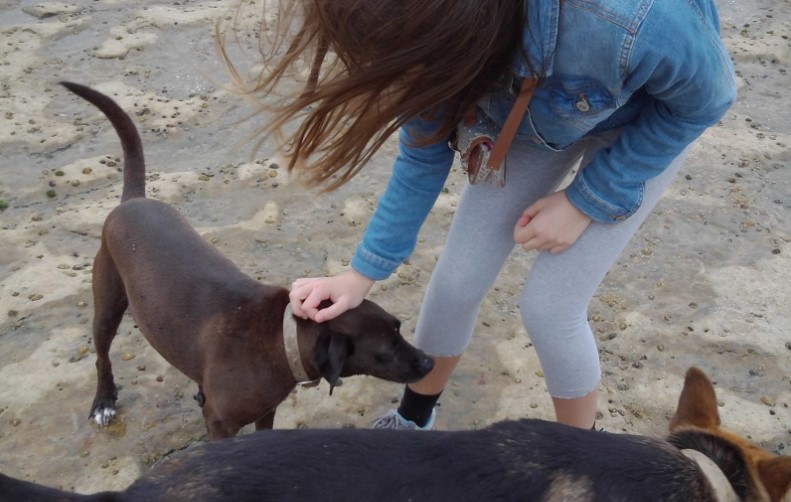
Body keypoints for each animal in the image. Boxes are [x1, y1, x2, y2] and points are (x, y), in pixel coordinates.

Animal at [60, 82, 434, 440]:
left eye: (399, 329)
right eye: (387, 350)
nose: (430, 363)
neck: (282, 335)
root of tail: (132, 201)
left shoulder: (265, 411)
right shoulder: (221, 423)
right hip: (108, 304)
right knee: (102, 357)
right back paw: (103, 402)